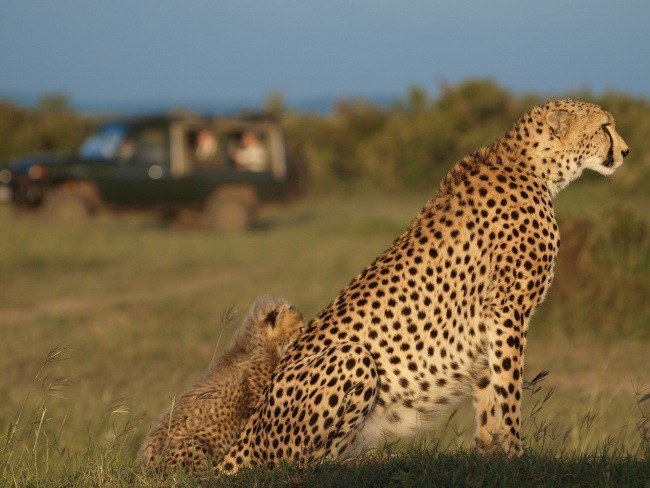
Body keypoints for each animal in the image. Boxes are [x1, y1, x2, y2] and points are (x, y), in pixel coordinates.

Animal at [218, 100, 628, 472]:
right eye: (604, 126)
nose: (625, 151)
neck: (535, 165)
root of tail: (241, 440)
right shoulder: (508, 308)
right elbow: (508, 385)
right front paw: (515, 451)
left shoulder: (488, 318)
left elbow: (487, 386)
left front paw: (489, 450)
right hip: (353, 359)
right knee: (299, 463)